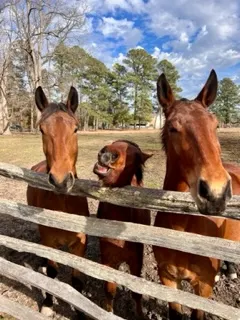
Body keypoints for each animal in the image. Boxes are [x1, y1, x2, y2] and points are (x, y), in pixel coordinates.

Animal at [27, 86, 89, 316]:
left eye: (76, 129)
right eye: (42, 130)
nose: (61, 180)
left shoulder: (80, 244)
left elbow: (77, 281)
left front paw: (80, 312)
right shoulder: (49, 241)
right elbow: (53, 274)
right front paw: (47, 304)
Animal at [93, 141, 151, 320]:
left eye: (136, 155)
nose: (107, 153)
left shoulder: (136, 261)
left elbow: (136, 292)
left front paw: (140, 315)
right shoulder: (108, 260)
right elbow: (110, 290)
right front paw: (108, 311)